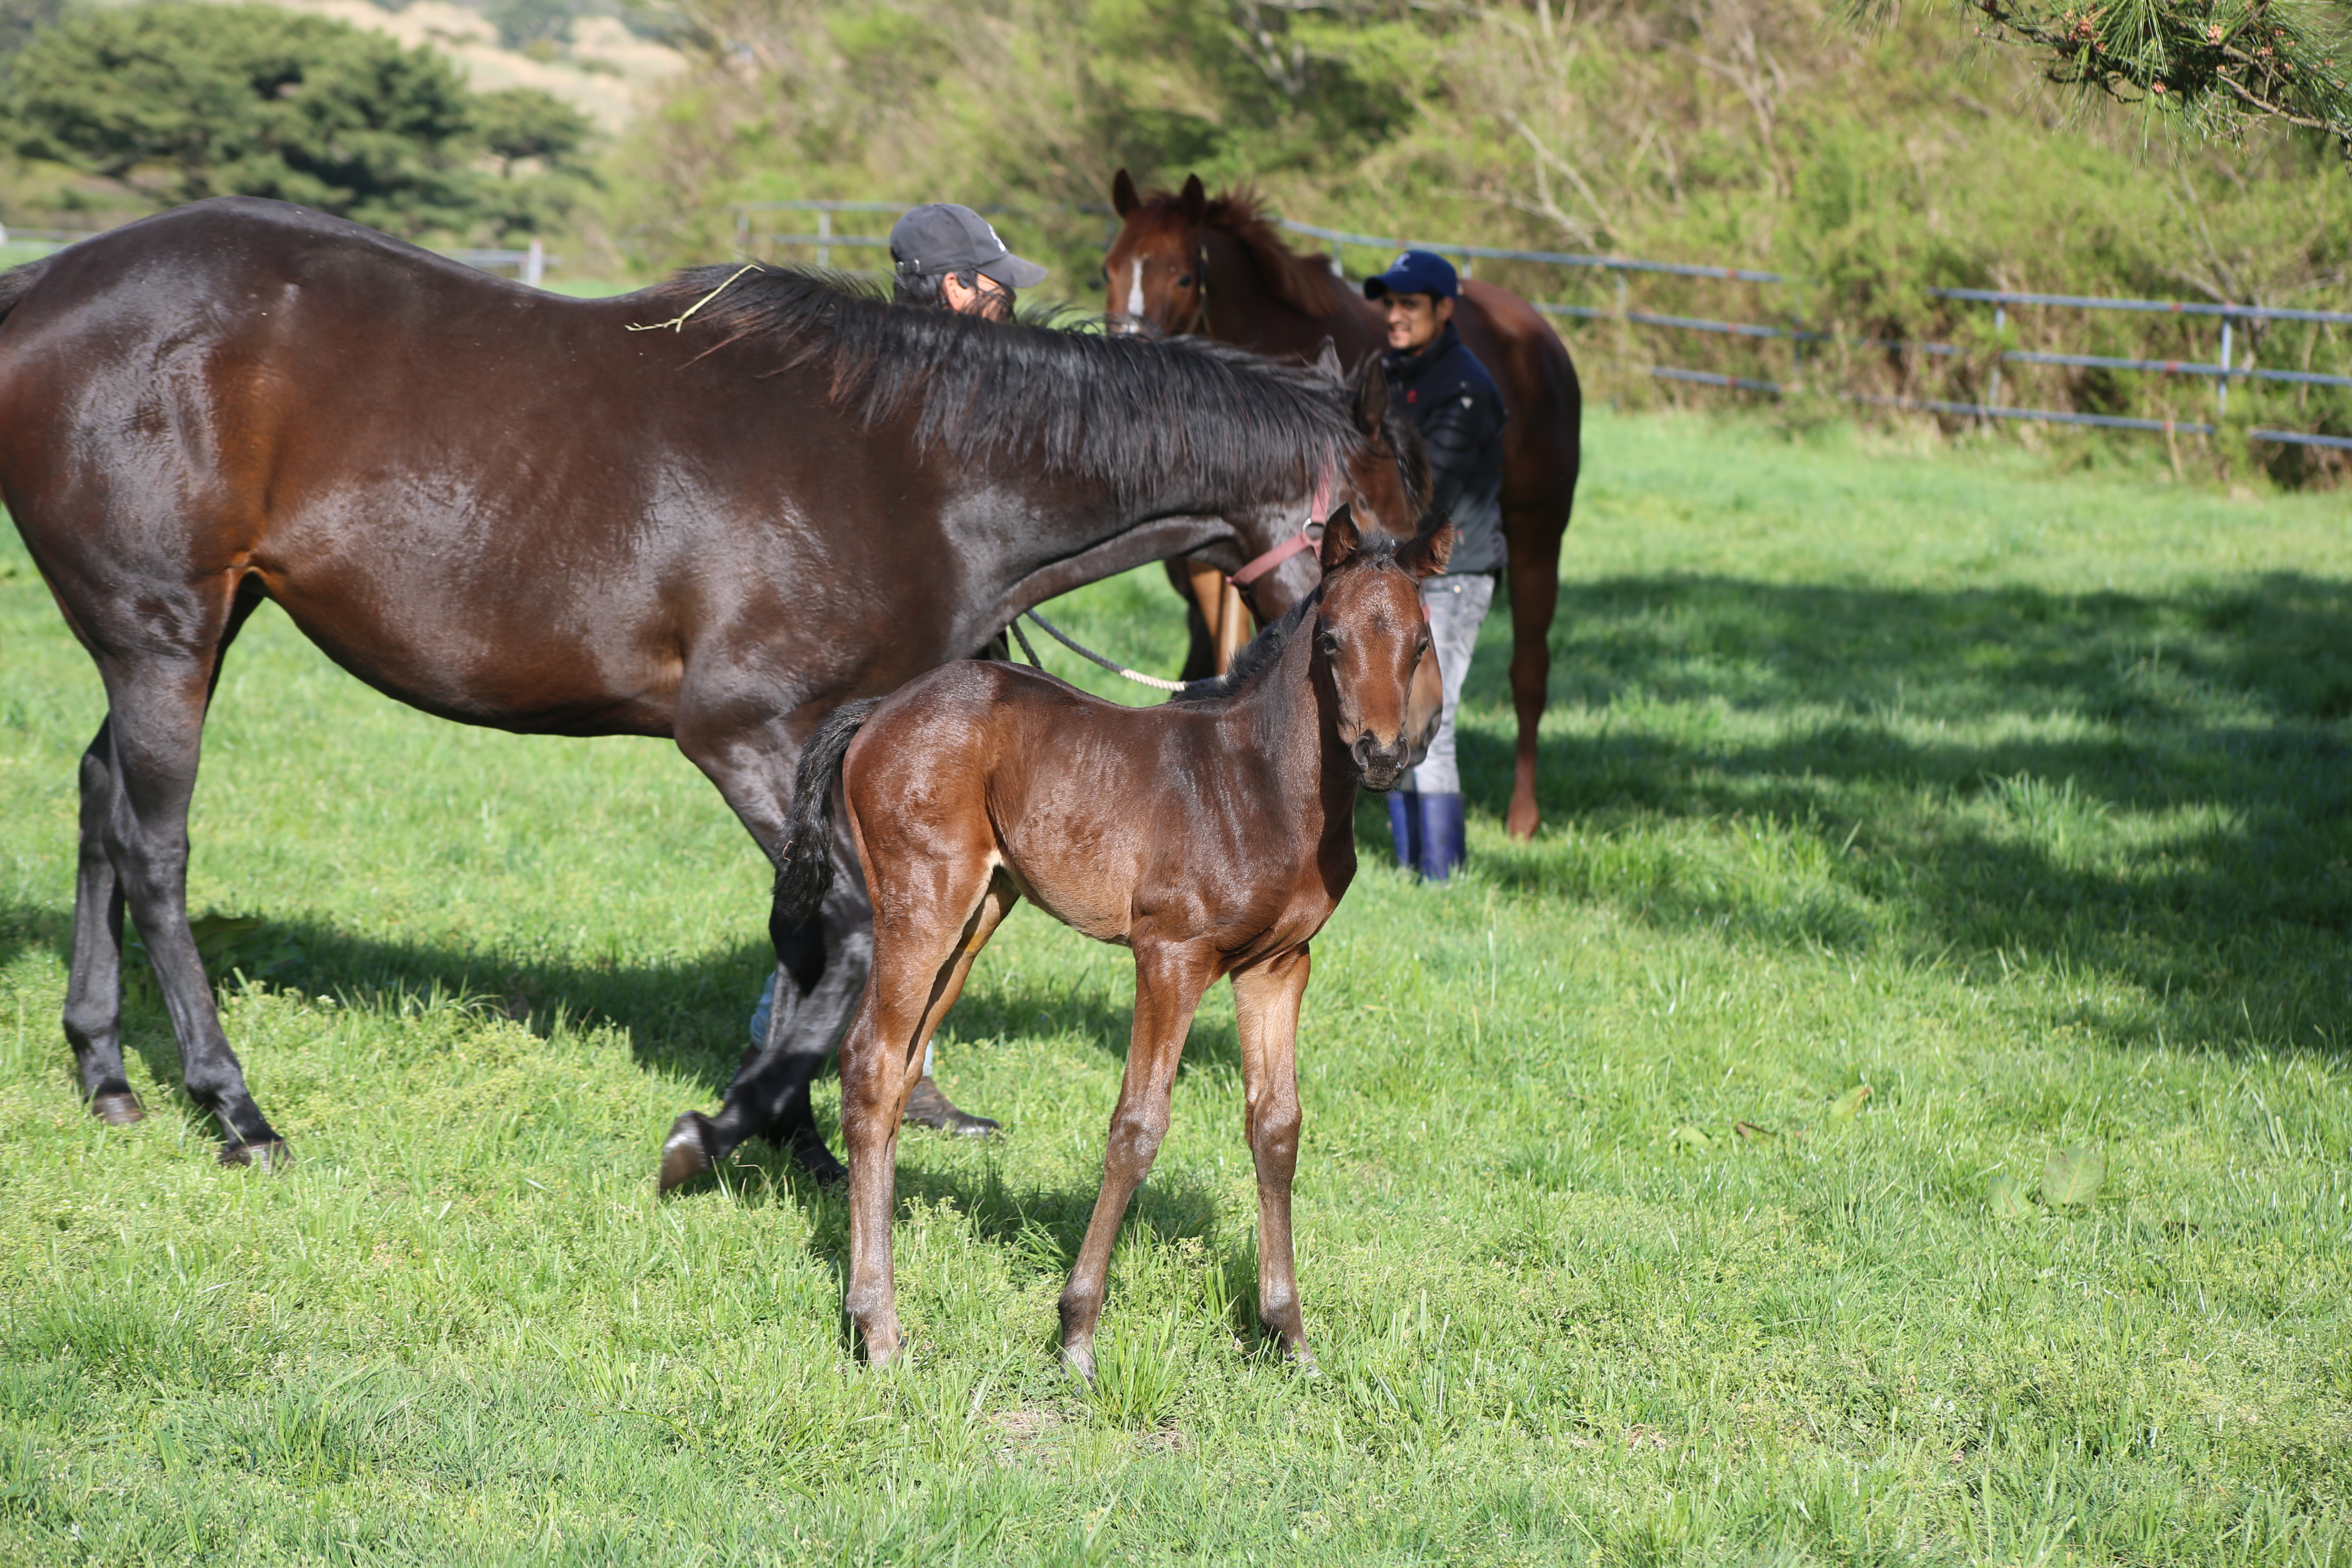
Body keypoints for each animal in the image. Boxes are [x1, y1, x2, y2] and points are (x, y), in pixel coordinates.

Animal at [781, 512, 1439, 1373]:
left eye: (1422, 642)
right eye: (1330, 640)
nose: (1382, 754)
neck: (1260, 784)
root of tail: (882, 709)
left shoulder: (1278, 966)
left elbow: (1277, 1127)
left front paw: (1289, 1336)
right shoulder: (1171, 956)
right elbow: (1137, 1126)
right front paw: (1077, 1335)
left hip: (978, 915)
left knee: (896, 1075)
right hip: (923, 905)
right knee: (870, 1061)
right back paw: (880, 1330)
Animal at [1100, 172, 1580, 846]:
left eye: (1185, 276)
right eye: (1109, 269)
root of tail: (1541, 335)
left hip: (1540, 540)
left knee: (1529, 676)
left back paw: (1522, 816)